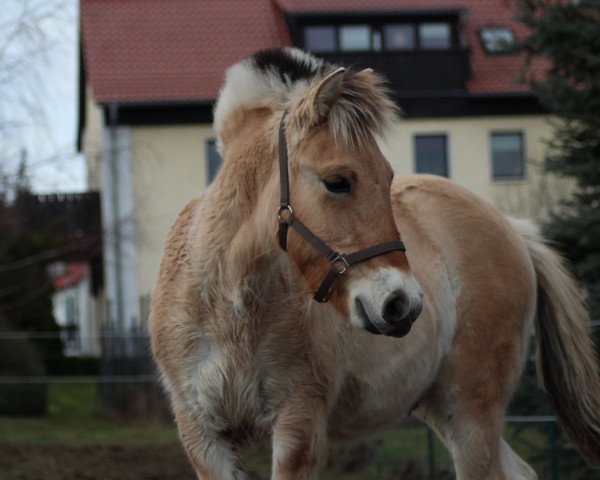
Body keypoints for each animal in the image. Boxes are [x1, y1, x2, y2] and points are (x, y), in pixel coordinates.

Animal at [146, 46, 600, 480]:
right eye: (338, 182)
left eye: (388, 179)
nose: (402, 303)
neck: (228, 306)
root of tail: (513, 229)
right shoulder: (203, 436)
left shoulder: (298, 427)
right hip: (443, 408)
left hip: (472, 413)